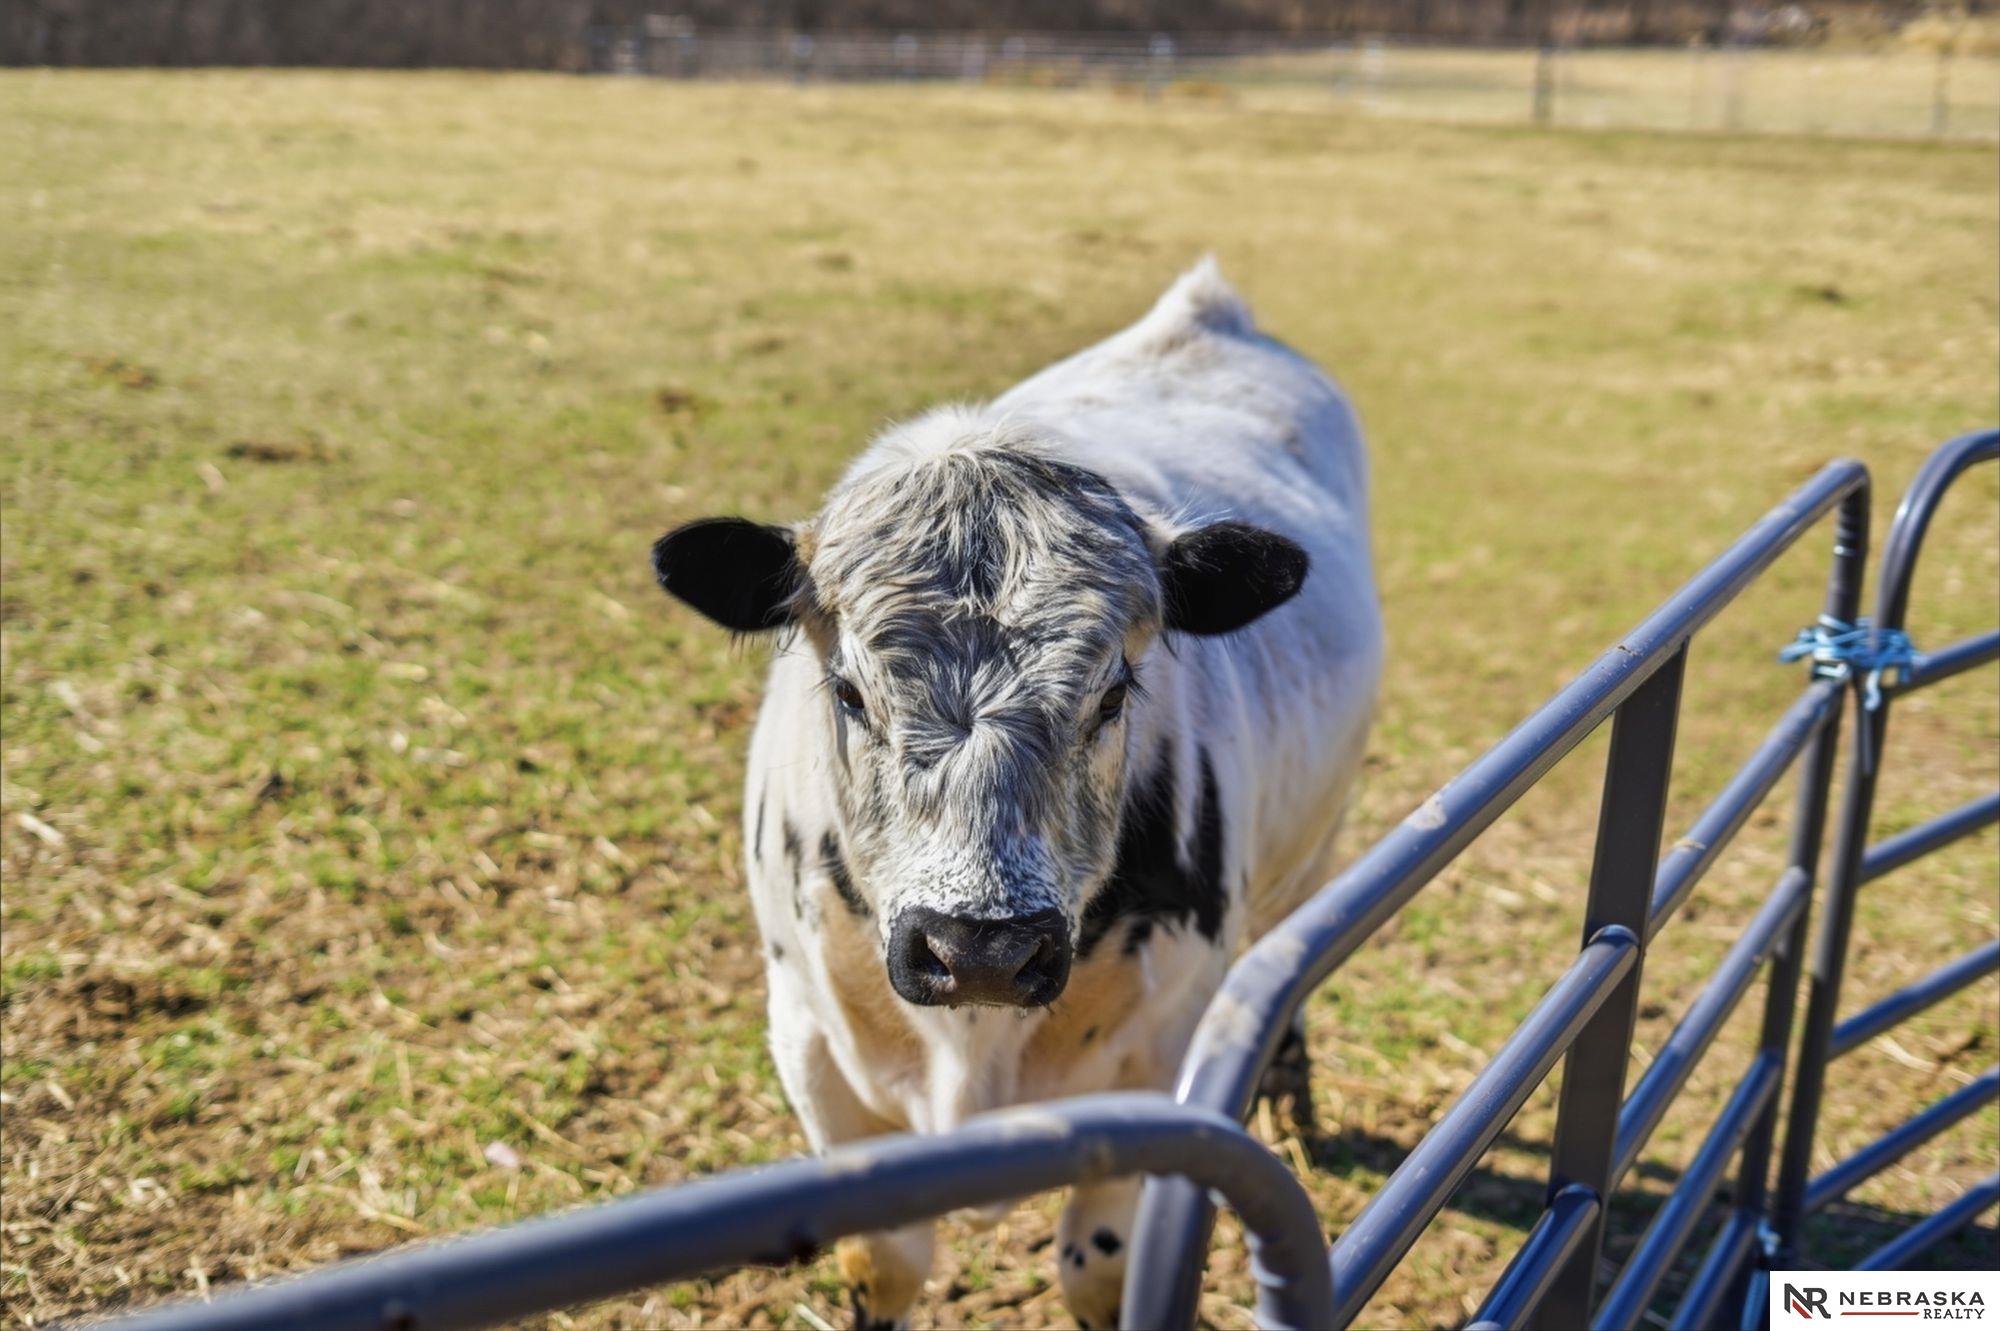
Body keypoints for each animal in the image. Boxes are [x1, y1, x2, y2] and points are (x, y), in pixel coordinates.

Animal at [650, 259, 1381, 1330]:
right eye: (849, 690)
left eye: (1115, 691)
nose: (980, 948)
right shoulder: (814, 1052)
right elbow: (886, 1263)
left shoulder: (1161, 1075)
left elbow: (1099, 1270)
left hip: (1312, 854)